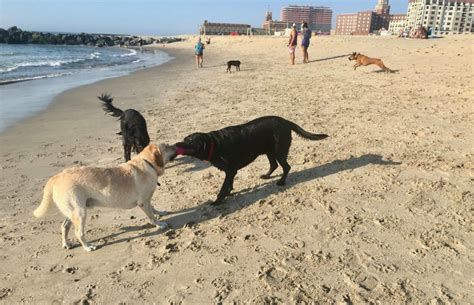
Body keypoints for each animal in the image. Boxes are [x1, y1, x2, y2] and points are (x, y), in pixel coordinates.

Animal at [33, 144, 176, 251]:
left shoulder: (147, 199)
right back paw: (88, 247)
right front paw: (159, 224)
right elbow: (151, 216)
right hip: (80, 212)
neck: (147, 163)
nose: (177, 145)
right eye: (167, 147)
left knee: (64, 226)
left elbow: (153, 207)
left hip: (73, 211)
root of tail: (56, 177)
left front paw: (160, 212)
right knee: (78, 233)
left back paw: (66, 244)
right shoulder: (143, 202)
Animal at [175, 116, 330, 204]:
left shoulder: (230, 170)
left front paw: (218, 201)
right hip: (269, 151)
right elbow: (229, 184)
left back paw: (281, 182)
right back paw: (267, 176)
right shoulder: (231, 172)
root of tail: (286, 122)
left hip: (279, 151)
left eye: (190, 142)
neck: (214, 144)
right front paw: (229, 193)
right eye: (185, 139)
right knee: (274, 165)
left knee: (286, 167)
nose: (177, 144)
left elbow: (223, 187)